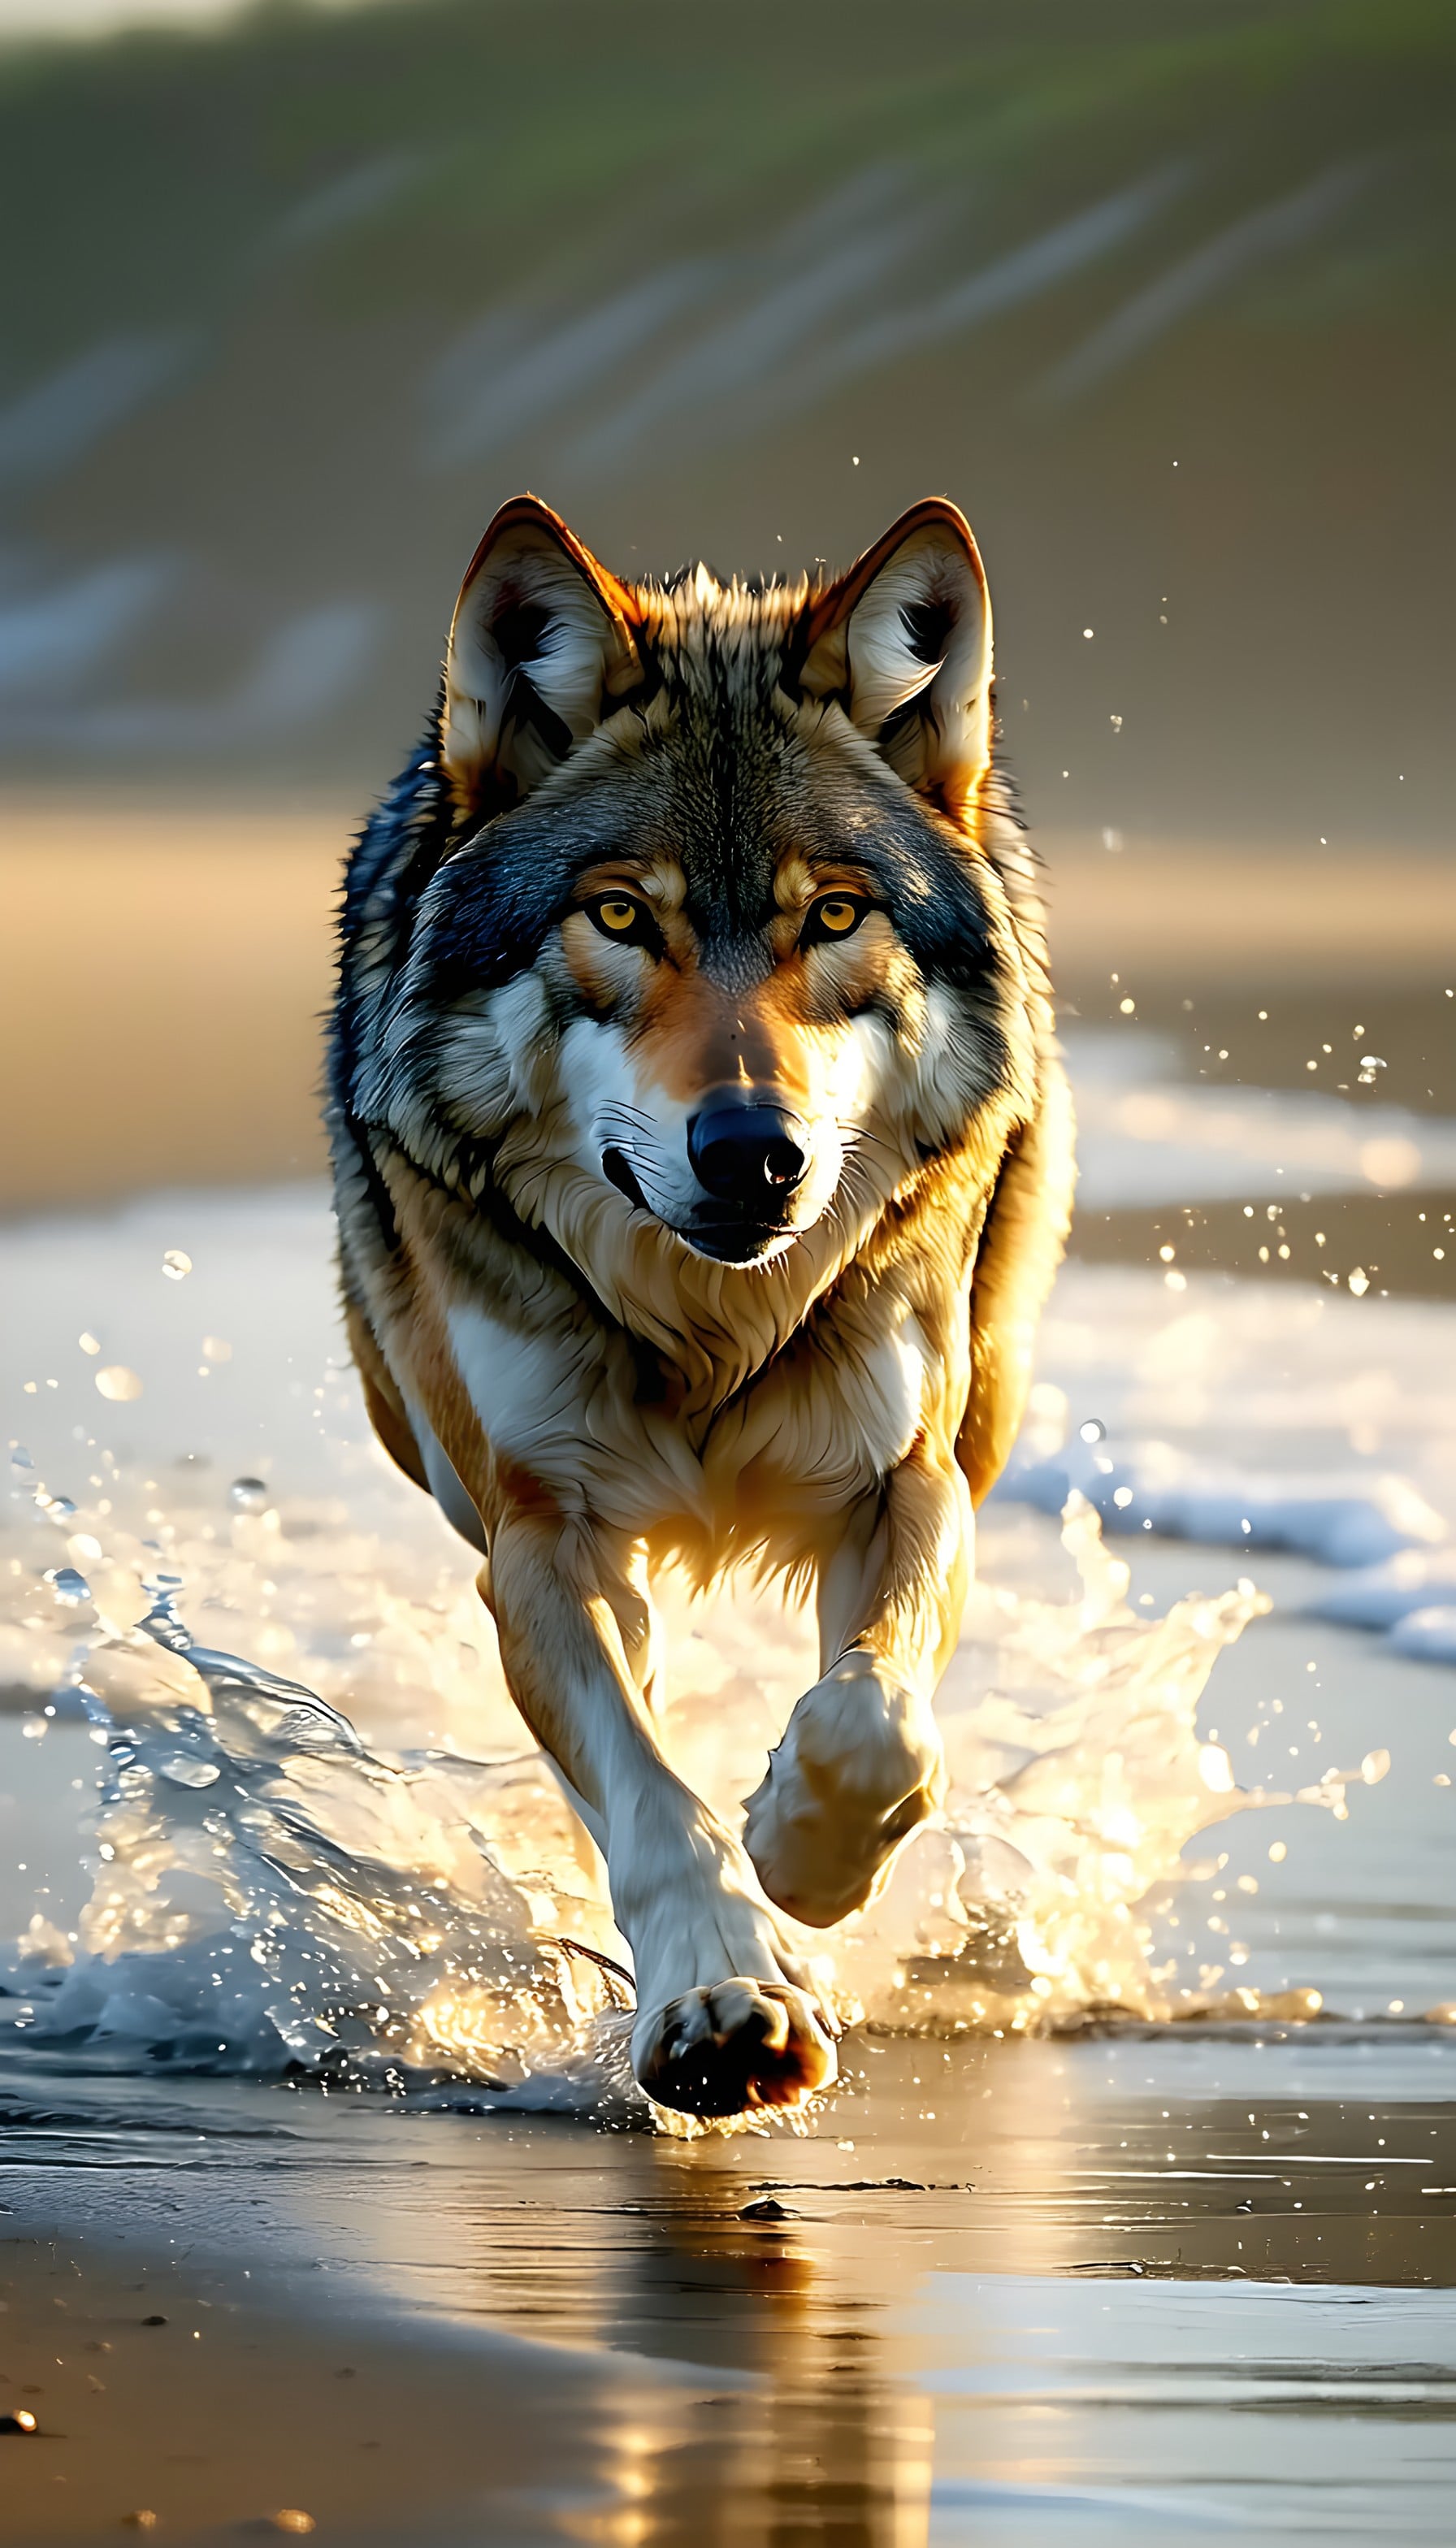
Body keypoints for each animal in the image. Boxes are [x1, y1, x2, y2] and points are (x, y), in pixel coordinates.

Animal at [327, 493, 1074, 2118]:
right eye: (620, 915)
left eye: (834, 916)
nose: (754, 1152)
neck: (709, 1326)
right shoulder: (541, 1530)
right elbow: (651, 1799)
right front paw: (726, 1997)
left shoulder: (910, 1480)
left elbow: (875, 1723)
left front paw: (800, 1862)